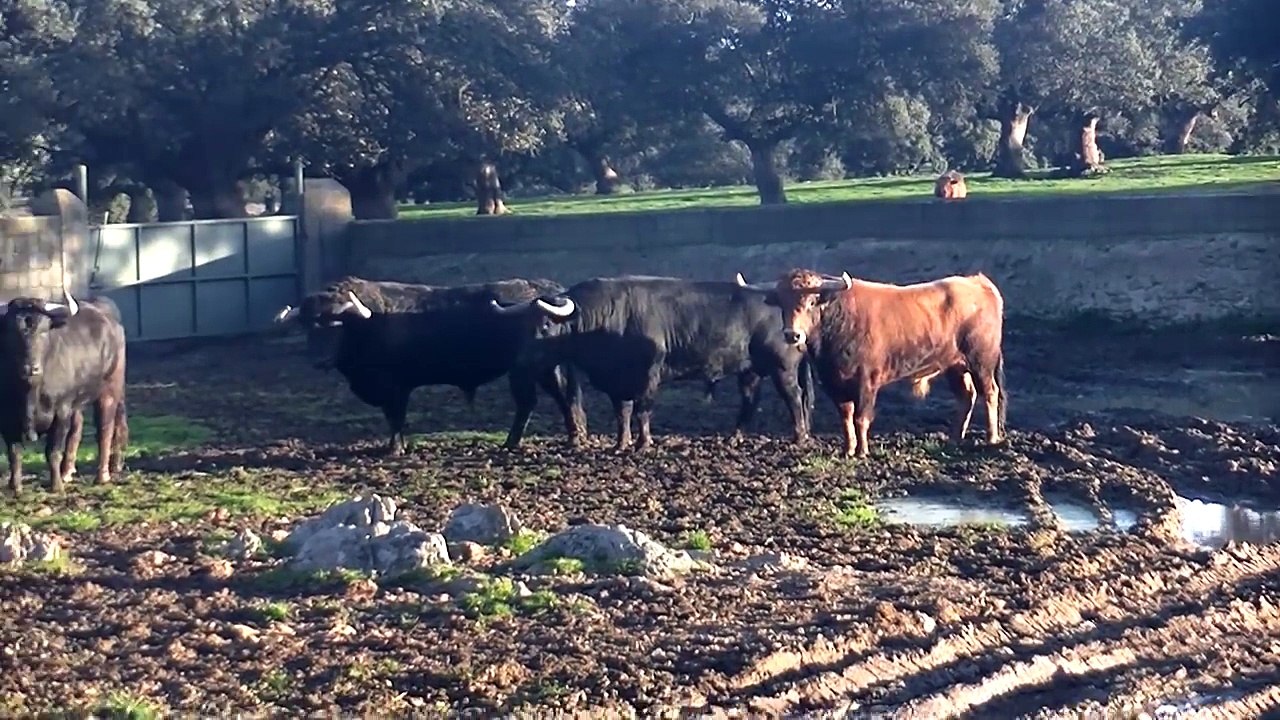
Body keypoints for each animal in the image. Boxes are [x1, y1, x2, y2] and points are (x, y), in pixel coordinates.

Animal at [0, 290, 129, 494]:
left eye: (44, 331)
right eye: (11, 333)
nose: (31, 368)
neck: (30, 392)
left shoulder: (60, 412)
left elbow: (52, 451)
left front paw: (56, 486)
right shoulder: (6, 416)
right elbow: (14, 453)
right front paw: (15, 487)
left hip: (109, 391)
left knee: (105, 429)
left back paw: (102, 475)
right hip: (77, 402)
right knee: (78, 428)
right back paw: (67, 471)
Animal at [273, 276, 586, 454]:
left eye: (336, 323)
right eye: (308, 325)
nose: (319, 360)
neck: (367, 324)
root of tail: (548, 292)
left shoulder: (395, 388)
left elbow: (395, 418)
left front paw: (395, 449)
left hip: (524, 370)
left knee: (529, 402)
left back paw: (511, 443)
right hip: (544, 368)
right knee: (562, 397)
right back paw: (572, 437)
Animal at [490, 275, 816, 451]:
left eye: (545, 326)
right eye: (522, 327)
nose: (520, 362)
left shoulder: (649, 374)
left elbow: (642, 410)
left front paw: (642, 443)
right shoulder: (616, 381)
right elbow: (622, 412)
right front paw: (621, 443)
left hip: (783, 368)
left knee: (794, 397)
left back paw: (799, 436)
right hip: (749, 370)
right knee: (750, 401)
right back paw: (733, 438)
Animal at [734, 268, 1006, 458]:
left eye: (811, 302)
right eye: (782, 302)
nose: (793, 335)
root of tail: (978, 281)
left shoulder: (867, 381)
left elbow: (861, 418)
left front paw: (863, 451)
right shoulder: (835, 384)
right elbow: (846, 418)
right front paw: (848, 449)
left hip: (981, 361)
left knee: (990, 393)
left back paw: (991, 438)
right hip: (954, 366)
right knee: (967, 396)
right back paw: (954, 437)